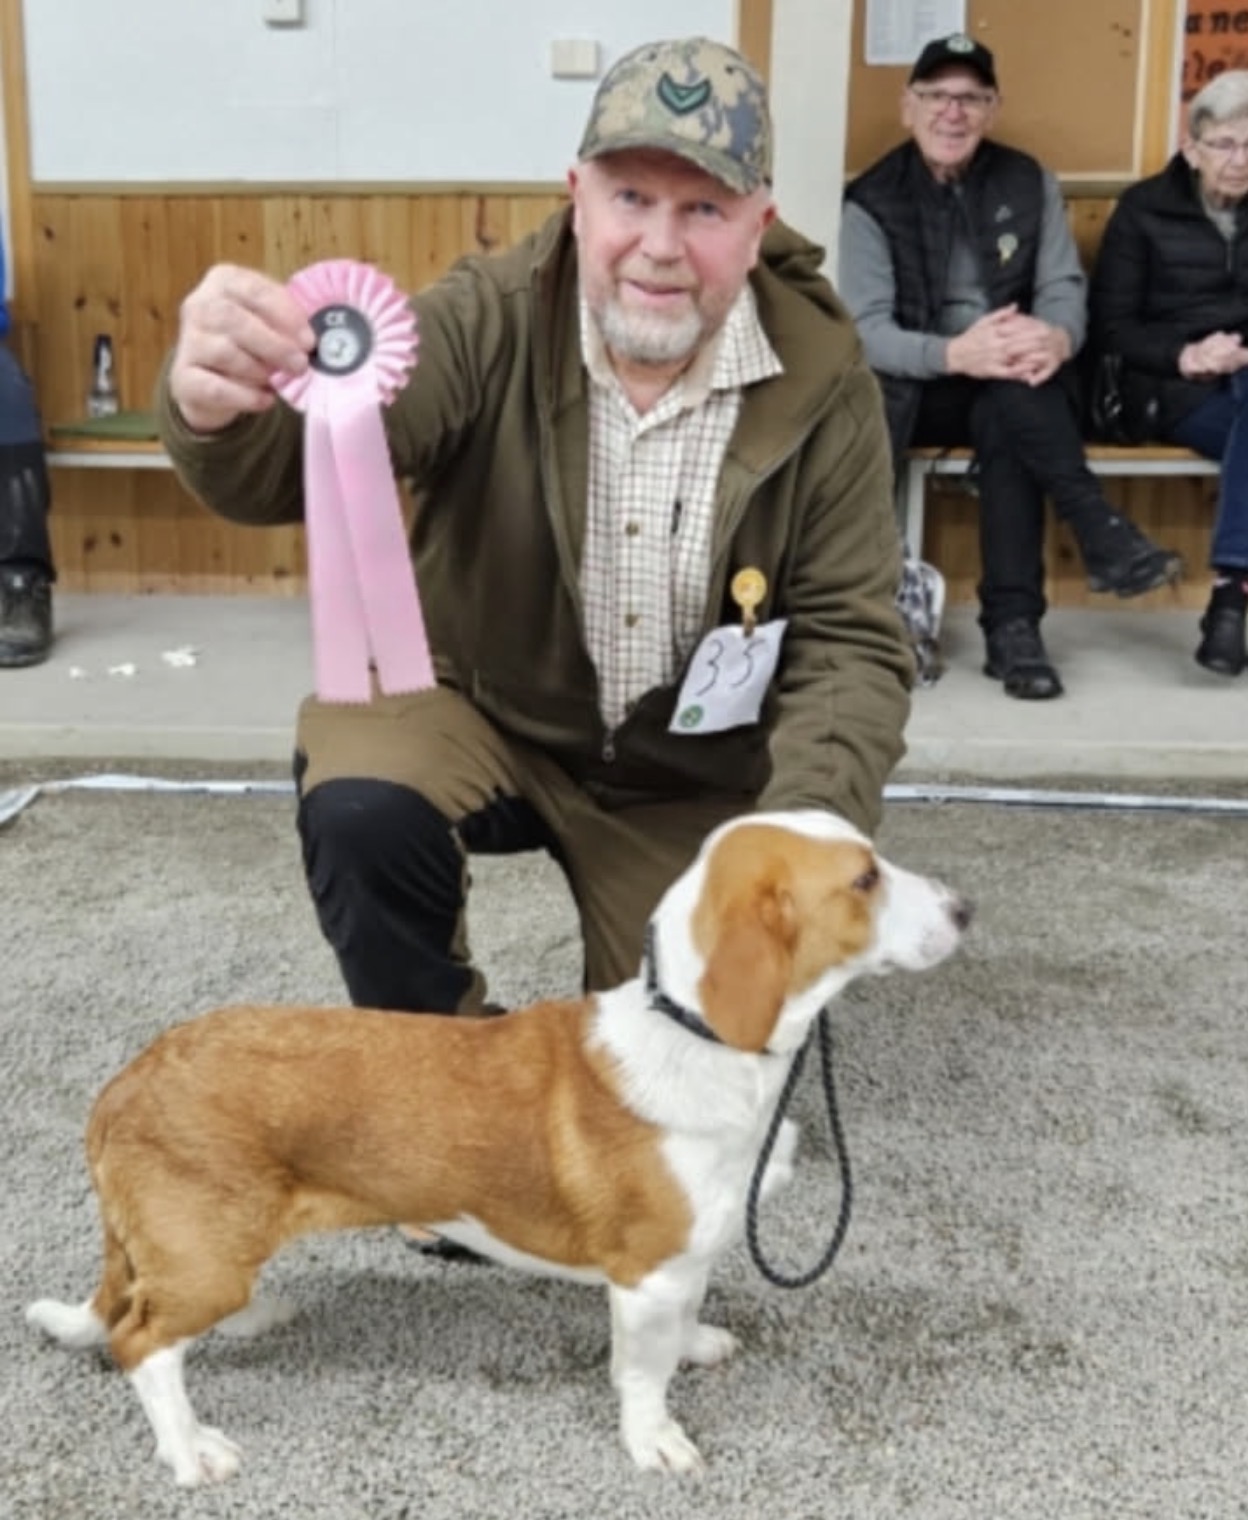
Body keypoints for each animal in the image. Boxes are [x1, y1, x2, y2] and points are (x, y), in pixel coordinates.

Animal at [26, 808, 970, 1487]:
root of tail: (127, 1081)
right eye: (865, 878)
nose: (967, 909)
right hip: (201, 1263)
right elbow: (642, 1377)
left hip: (210, 1253)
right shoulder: (645, 1277)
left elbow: (683, 1324)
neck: (694, 1036)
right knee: (141, 1344)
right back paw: (190, 1452)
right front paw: (655, 1440)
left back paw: (253, 1318)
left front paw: (693, 1346)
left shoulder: (683, 1262)